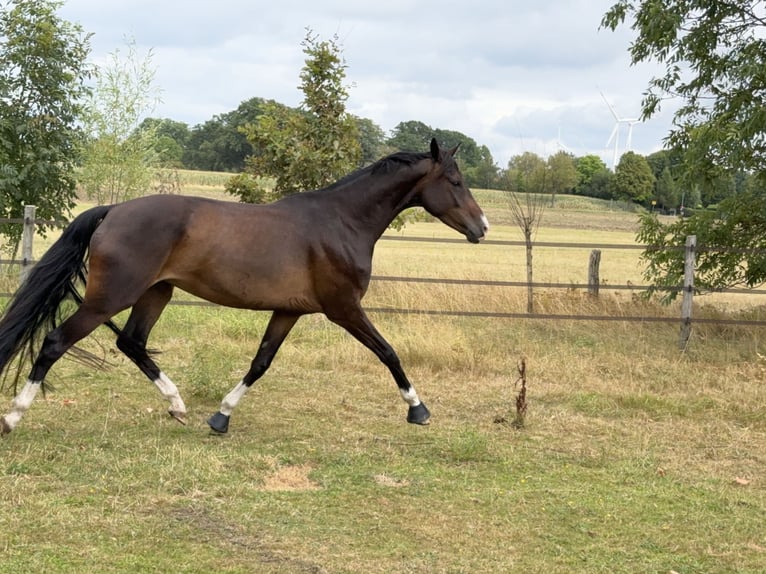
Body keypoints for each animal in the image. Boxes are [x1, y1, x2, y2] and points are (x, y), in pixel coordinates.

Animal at [0, 138, 488, 436]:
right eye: (456, 181)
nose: (481, 228)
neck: (342, 222)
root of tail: (114, 210)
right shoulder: (344, 308)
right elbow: (388, 352)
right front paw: (418, 410)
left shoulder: (289, 310)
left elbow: (261, 362)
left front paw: (221, 417)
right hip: (110, 297)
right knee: (56, 341)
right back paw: (13, 417)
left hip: (157, 292)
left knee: (133, 343)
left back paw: (177, 405)